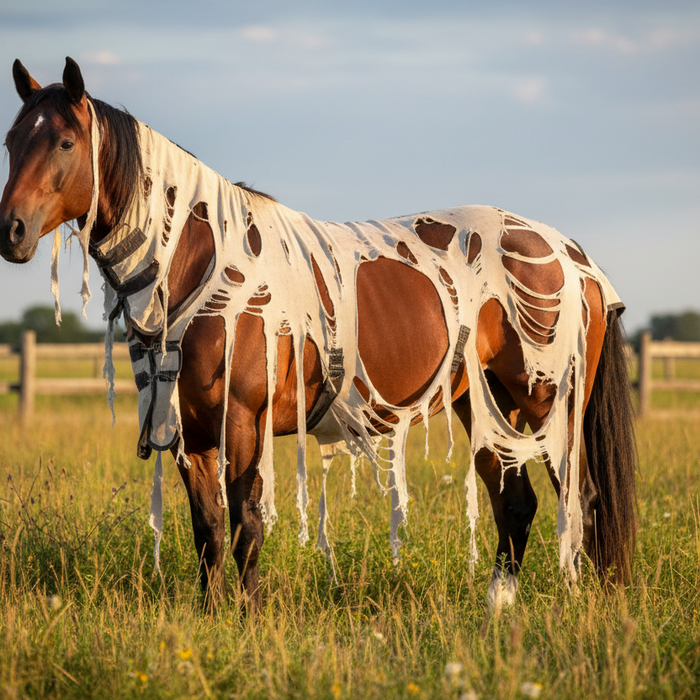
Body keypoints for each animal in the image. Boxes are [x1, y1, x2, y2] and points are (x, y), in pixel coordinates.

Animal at [0, 57, 636, 611]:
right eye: (10, 142)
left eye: (64, 143)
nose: (11, 231)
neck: (198, 262)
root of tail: (573, 256)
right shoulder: (188, 431)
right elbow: (207, 529)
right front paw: (211, 616)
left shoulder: (242, 422)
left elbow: (245, 524)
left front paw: (248, 619)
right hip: (486, 406)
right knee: (515, 504)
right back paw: (499, 605)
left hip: (551, 406)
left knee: (582, 501)